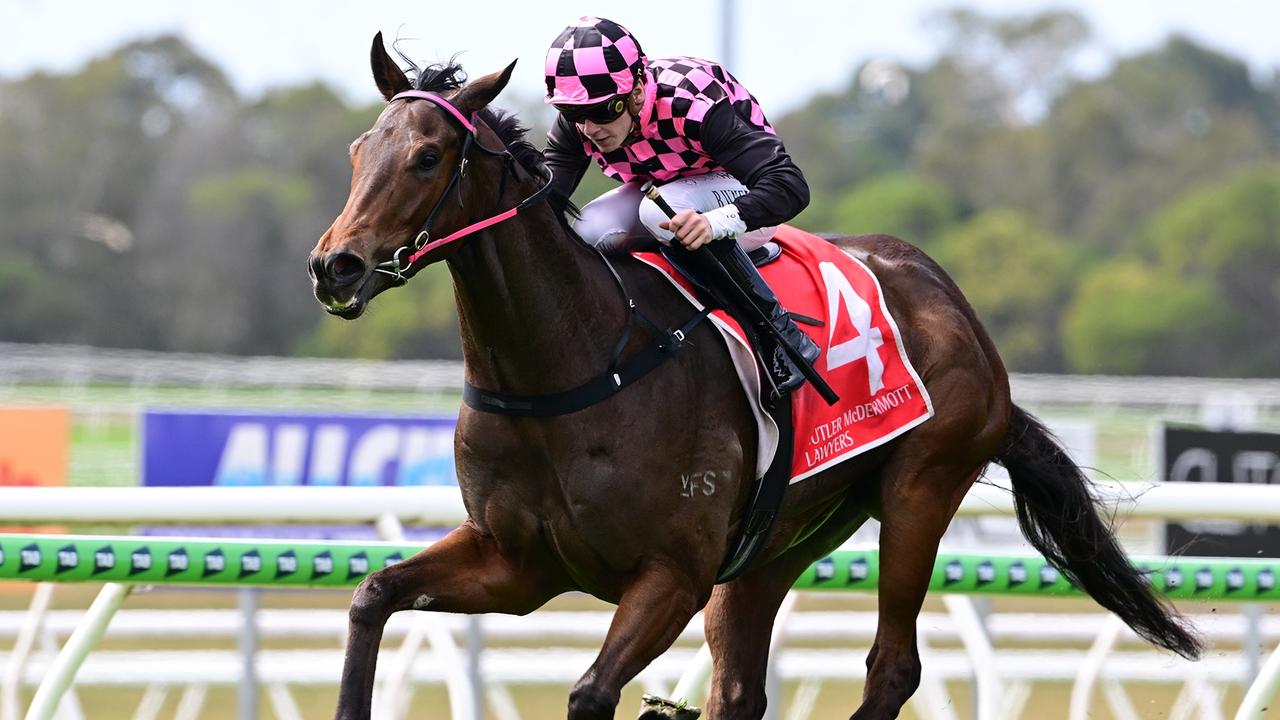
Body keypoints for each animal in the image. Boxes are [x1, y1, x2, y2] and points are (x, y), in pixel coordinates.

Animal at [307, 35, 1198, 717]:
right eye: (357, 150)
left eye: (427, 157)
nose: (334, 266)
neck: (575, 366)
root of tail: (958, 309)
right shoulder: (517, 563)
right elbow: (372, 595)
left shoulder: (672, 575)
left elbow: (591, 692)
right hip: (777, 542)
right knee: (740, 688)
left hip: (921, 489)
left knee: (892, 667)